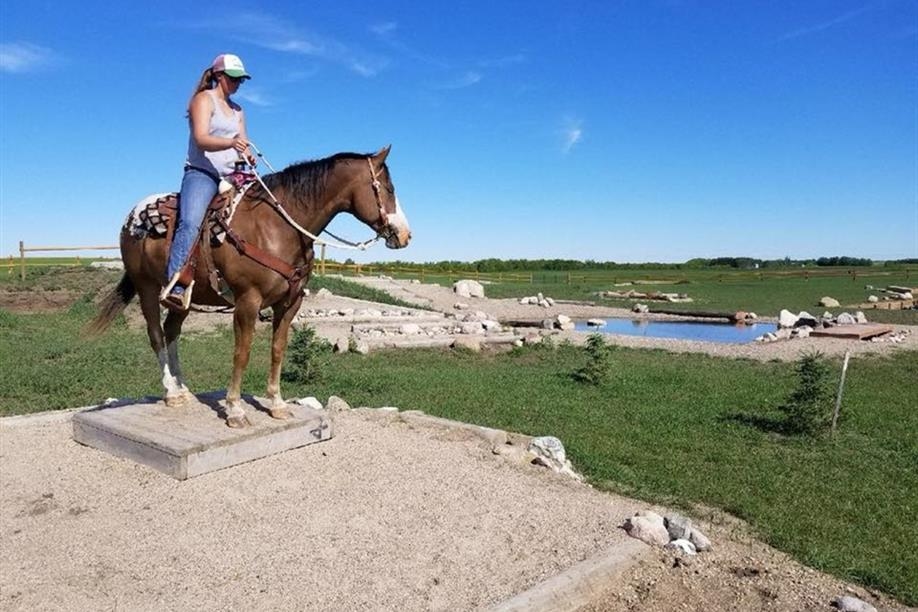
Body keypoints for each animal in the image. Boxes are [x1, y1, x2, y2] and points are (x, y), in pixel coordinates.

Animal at [90, 146, 411, 428]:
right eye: (388, 188)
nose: (405, 235)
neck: (278, 226)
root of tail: (131, 217)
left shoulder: (290, 303)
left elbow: (278, 349)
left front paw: (277, 404)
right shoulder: (247, 301)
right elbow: (241, 353)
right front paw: (234, 409)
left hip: (183, 297)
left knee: (172, 332)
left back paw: (184, 389)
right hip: (145, 287)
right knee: (156, 335)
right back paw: (171, 392)